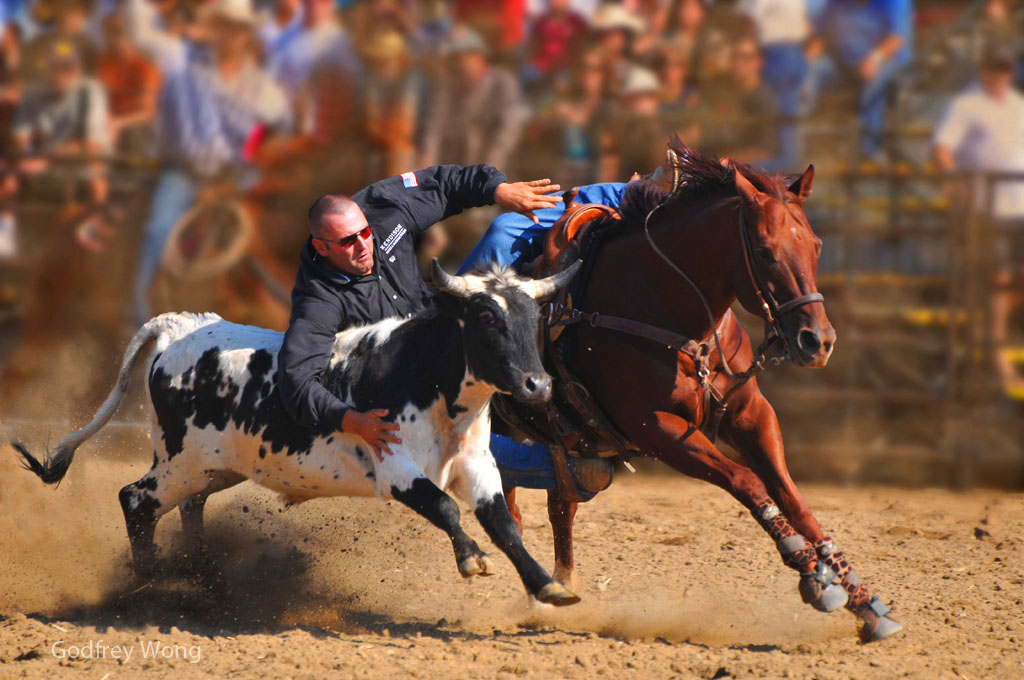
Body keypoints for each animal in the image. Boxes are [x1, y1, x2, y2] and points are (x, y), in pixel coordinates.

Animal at [507, 140, 901, 639]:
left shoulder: (750, 413)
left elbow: (791, 495)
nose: (819, 340)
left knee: (558, 506)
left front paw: (865, 602)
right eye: (765, 251)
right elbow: (747, 481)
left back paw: (558, 588)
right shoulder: (659, 430)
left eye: (815, 246)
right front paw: (811, 573)